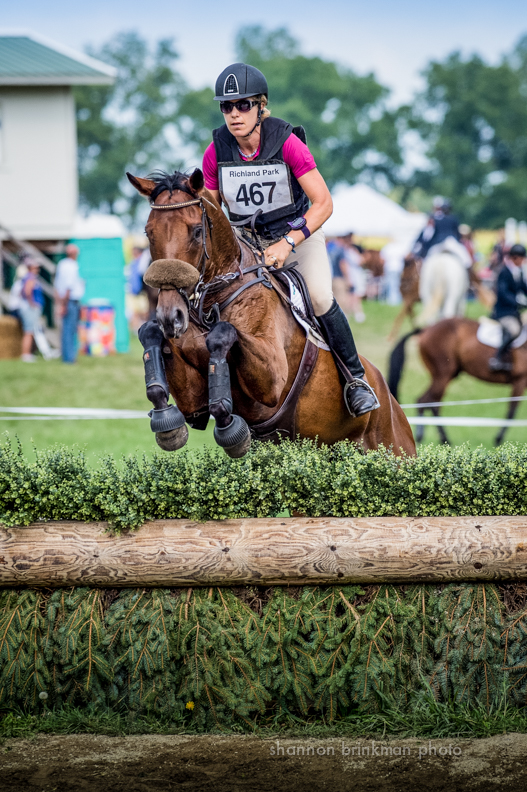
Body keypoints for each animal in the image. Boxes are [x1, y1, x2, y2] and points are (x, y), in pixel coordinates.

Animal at [126, 168, 416, 458]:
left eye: (197, 232)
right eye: (148, 233)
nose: (170, 316)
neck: (215, 303)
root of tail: (390, 399)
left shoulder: (271, 378)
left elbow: (224, 333)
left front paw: (230, 430)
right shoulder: (193, 402)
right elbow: (150, 334)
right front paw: (167, 424)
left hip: (394, 449)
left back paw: (361, 394)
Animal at [388, 317, 527, 446]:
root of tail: (426, 329)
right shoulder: (520, 381)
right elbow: (511, 411)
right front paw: (498, 439)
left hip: (446, 375)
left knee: (424, 400)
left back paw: (425, 437)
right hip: (443, 375)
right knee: (431, 402)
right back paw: (443, 439)